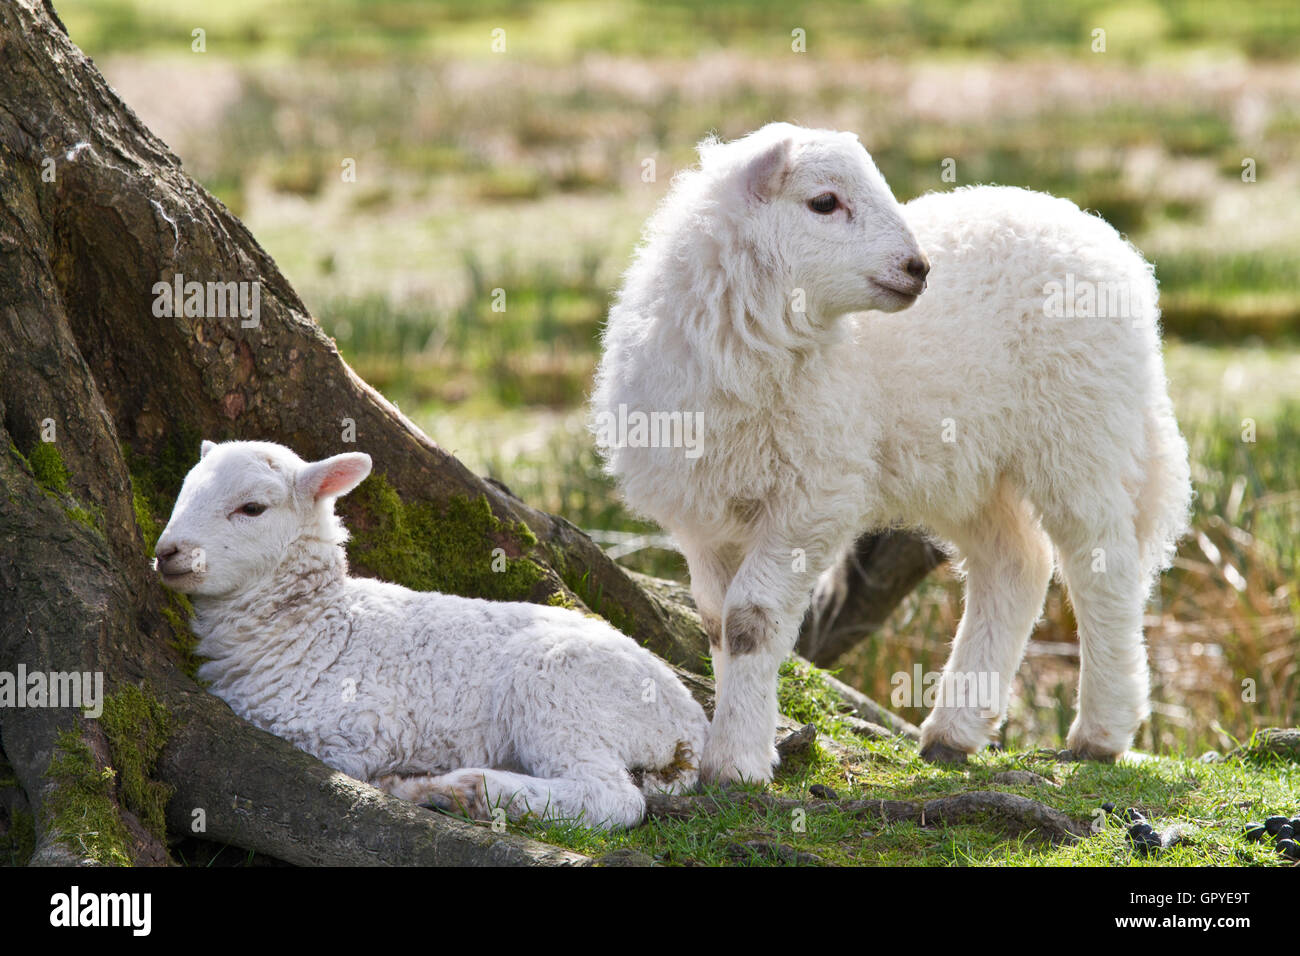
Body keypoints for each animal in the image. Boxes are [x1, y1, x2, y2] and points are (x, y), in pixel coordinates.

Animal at [154, 439, 708, 829]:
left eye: (252, 509)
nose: (167, 552)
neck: (317, 624)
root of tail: (689, 724)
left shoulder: (354, 732)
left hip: (563, 692)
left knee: (613, 798)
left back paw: (467, 790)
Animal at [591, 122, 1191, 782]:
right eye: (824, 202)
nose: (919, 268)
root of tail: (1100, 234)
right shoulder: (704, 516)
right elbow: (719, 624)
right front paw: (738, 741)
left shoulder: (811, 498)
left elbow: (753, 620)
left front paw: (737, 761)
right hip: (969, 467)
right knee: (1017, 565)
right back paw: (955, 730)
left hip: (1081, 430)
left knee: (1104, 566)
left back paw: (1101, 731)